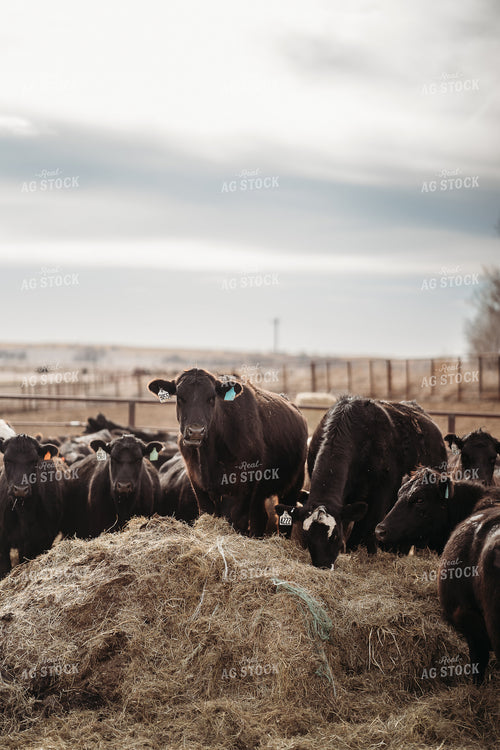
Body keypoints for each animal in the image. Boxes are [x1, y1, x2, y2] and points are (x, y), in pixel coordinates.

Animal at [148, 369, 308, 536]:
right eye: (180, 397)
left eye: (211, 398)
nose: (196, 432)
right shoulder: (198, 486)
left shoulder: (243, 489)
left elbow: (236, 520)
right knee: (260, 517)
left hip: (293, 486)